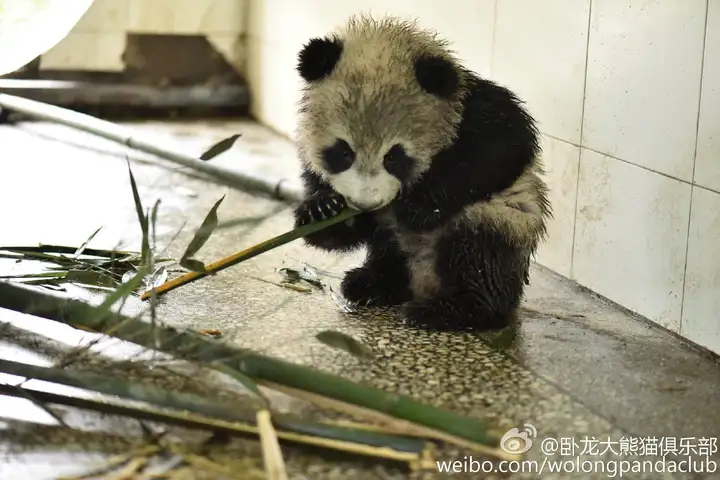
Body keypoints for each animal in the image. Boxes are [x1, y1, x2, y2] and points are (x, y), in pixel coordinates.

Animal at [290, 14, 548, 330]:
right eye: (343, 152)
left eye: (394, 156)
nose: (367, 202)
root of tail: (424, 283)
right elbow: (340, 226)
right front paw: (322, 210)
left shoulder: (474, 106)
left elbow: (502, 145)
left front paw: (420, 206)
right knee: (388, 249)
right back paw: (372, 285)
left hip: (504, 221)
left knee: (478, 251)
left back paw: (450, 309)